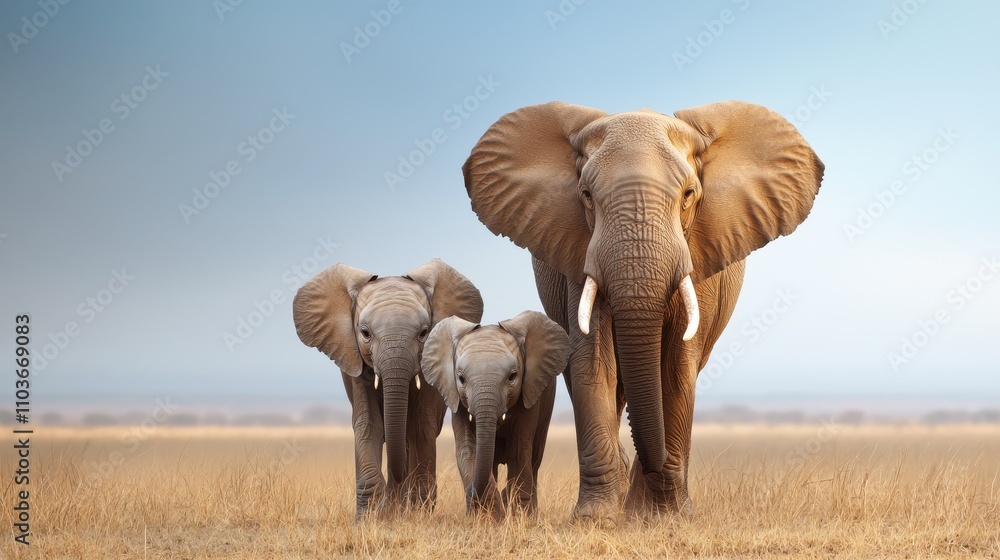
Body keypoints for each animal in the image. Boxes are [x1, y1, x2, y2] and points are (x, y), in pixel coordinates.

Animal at [292, 258, 483, 517]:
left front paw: (416, 513)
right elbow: (368, 422)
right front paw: (370, 517)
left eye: (424, 333)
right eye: (364, 333)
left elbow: (420, 425)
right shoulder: (353, 359)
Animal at [421, 311, 569, 519]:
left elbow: (519, 449)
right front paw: (489, 518)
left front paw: (518, 517)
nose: (470, 495)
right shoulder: (456, 400)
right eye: (461, 378)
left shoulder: (529, 393)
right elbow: (468, 449)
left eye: (513, 376)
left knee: (535, 458)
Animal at [462, 100, 823, 520]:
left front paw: (665, 515)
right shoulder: (577, 253)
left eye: (689, 195)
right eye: (586, 195)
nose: (653, 466)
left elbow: (677, 367)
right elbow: (592, 362)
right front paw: (596, 518)